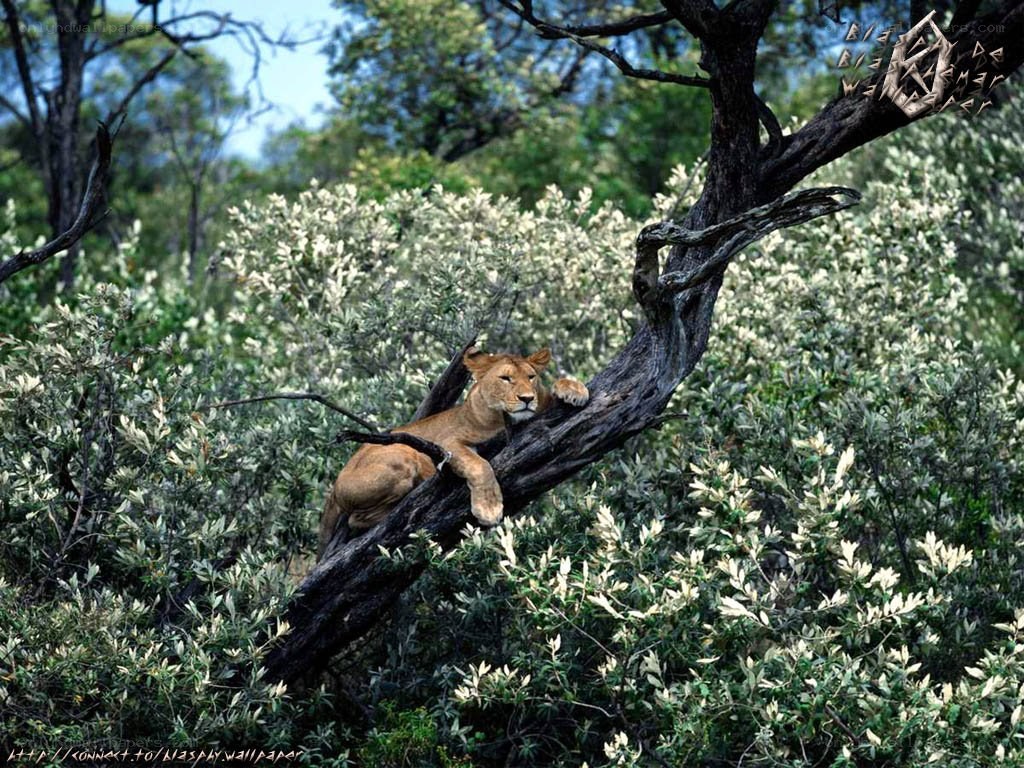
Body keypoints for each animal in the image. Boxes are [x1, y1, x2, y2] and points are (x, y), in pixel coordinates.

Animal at [317, 347, 589, 560]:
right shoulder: (449, 443)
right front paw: (488, 508)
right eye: (505, 378)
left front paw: (575, 389)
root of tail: (335, 486)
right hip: (402, 456)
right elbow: (480, 465)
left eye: (531, 377)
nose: (526, 398)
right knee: (357, 520)